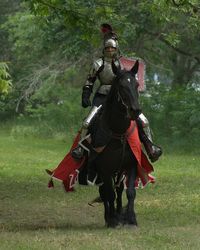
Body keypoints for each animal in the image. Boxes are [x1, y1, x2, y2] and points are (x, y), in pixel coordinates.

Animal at [91, 59, 141, 228]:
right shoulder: (105, 169)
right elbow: (109, 194)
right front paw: (112, 220)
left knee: (118, 189)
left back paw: (119, 213)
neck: (119, 134)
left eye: (136, 84)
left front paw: (131, 218)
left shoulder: (132, 164)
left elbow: (130, 192)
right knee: (106, 192)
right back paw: (110, 216)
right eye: (121, 86)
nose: (135, 111)